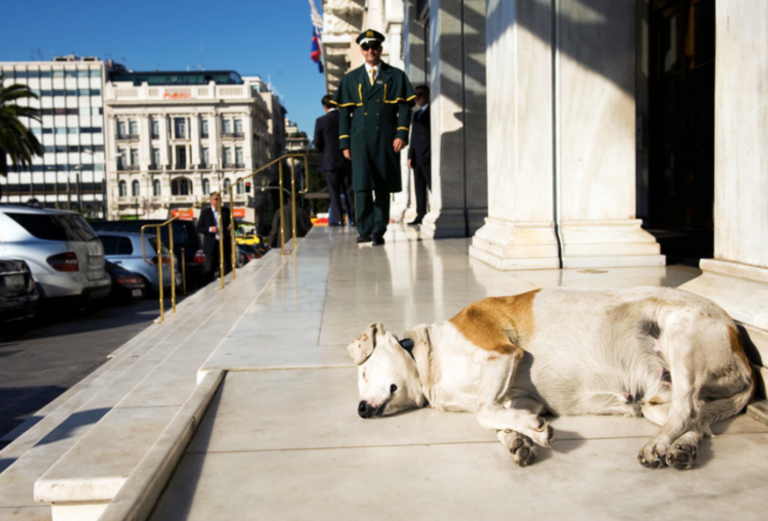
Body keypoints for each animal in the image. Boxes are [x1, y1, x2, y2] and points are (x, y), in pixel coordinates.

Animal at [350, 286, 756, 470]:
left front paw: (534, 431)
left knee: (689, 410)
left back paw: (657, 446)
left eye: (366, 371)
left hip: (680, 339)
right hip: (655, 403)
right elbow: (495, 418)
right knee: (695, 420)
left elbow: (483, 411)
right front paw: (518, 439)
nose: (360, 410)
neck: (427, 359)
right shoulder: (519, 398)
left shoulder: (502, 354)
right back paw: (681, 447)